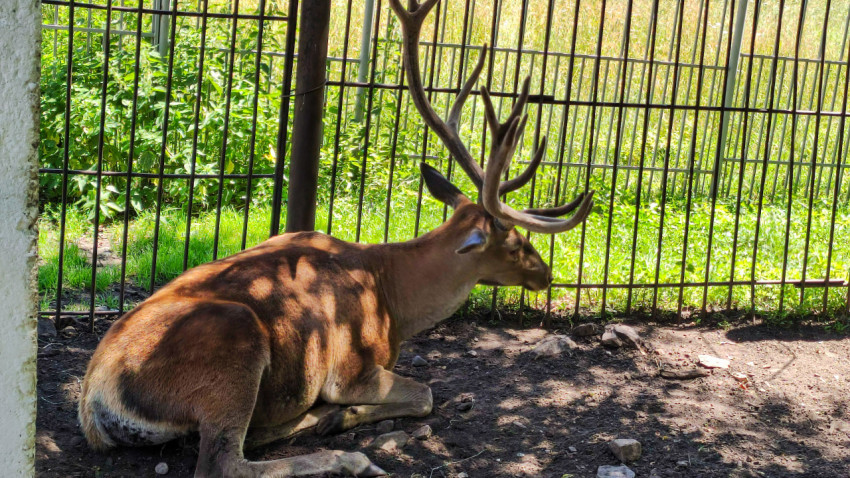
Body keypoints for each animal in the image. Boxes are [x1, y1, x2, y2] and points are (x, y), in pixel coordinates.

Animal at [78, 0, 594, 475]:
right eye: (516, 241)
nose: (546, 274)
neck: (394, 302)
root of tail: (94, 401)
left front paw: (336, 417)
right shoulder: (351, 367)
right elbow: (426, 393)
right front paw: (347, 417)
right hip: (234, 345)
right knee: (225, 461)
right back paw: (347, 455)